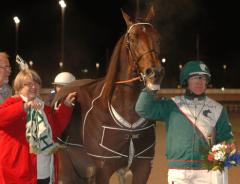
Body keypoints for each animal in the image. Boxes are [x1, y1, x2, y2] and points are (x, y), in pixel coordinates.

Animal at [53, 6, 164, 183]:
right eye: (132, 39)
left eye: (158, 38)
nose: (155, 72)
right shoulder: (102, 169)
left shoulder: (143, 167)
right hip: (66, 162)